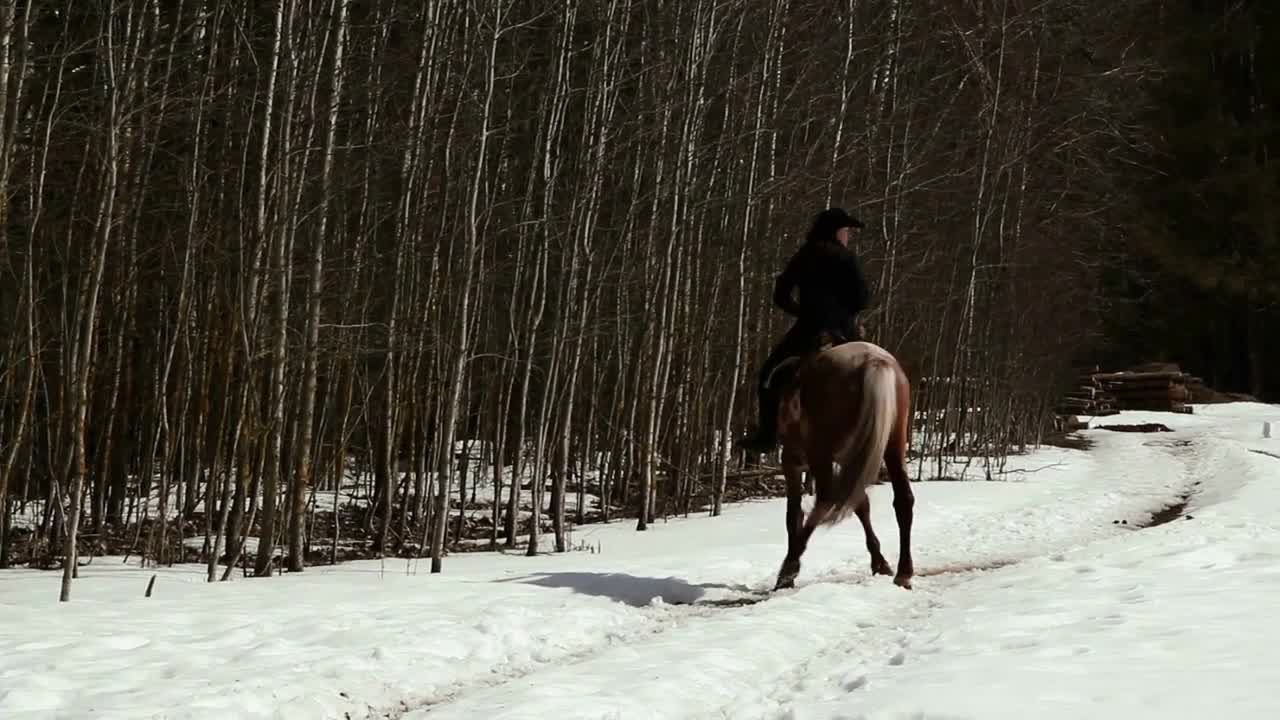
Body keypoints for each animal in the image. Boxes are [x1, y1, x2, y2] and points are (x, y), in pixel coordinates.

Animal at [762, 335, 916, 589]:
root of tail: (874, 361)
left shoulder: (792, 462)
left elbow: (793, 514)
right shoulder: (851, 461)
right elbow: (861, 504)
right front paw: (880, 563)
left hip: (820, 454)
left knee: (826, 499)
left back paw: (789, 568)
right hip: (892, 444)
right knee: (903, 500)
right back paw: (903, 573)